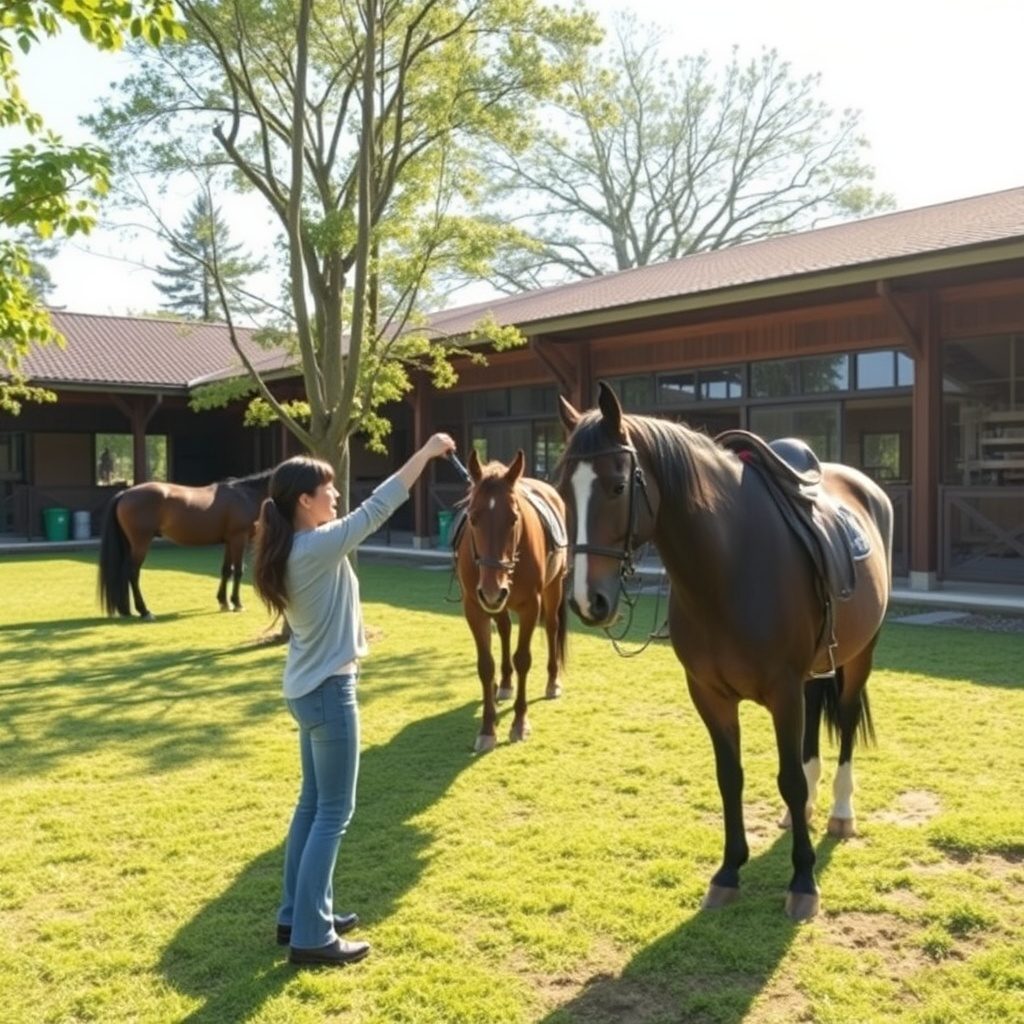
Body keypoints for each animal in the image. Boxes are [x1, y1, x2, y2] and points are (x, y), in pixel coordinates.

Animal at [98, 469, 273, 620]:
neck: (246, 495)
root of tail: (125, 494)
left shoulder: (230, 541)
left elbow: (226, 570)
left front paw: (224, 602)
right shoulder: (239, 539)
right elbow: (238, 570)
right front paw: (237, 603)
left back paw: (125, 610)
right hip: (140, 544)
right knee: (132, 573)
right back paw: (144, 611)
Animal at [455, 449, 569, 752]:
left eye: (514, 519)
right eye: (473, 518)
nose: (493, 590)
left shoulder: (531, 606)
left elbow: (523, 659)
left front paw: (519, 723)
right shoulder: (475, 607)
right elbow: (486, 665)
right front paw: (487, 728)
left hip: (553, 587)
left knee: (551, 627)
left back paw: (552, 682)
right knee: (505, 630)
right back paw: (505, 684)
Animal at [556, 382, 892, 920]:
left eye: (617, 486)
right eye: (563, 489)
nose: (589, 601)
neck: (729, 565)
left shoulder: (782, 691)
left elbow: (788, 778)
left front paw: (803, 881)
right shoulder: (709, 694)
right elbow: (729, 777)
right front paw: (729, 871)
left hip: (859, 658)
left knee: (841, 723)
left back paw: (840, 812)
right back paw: (807, 811)